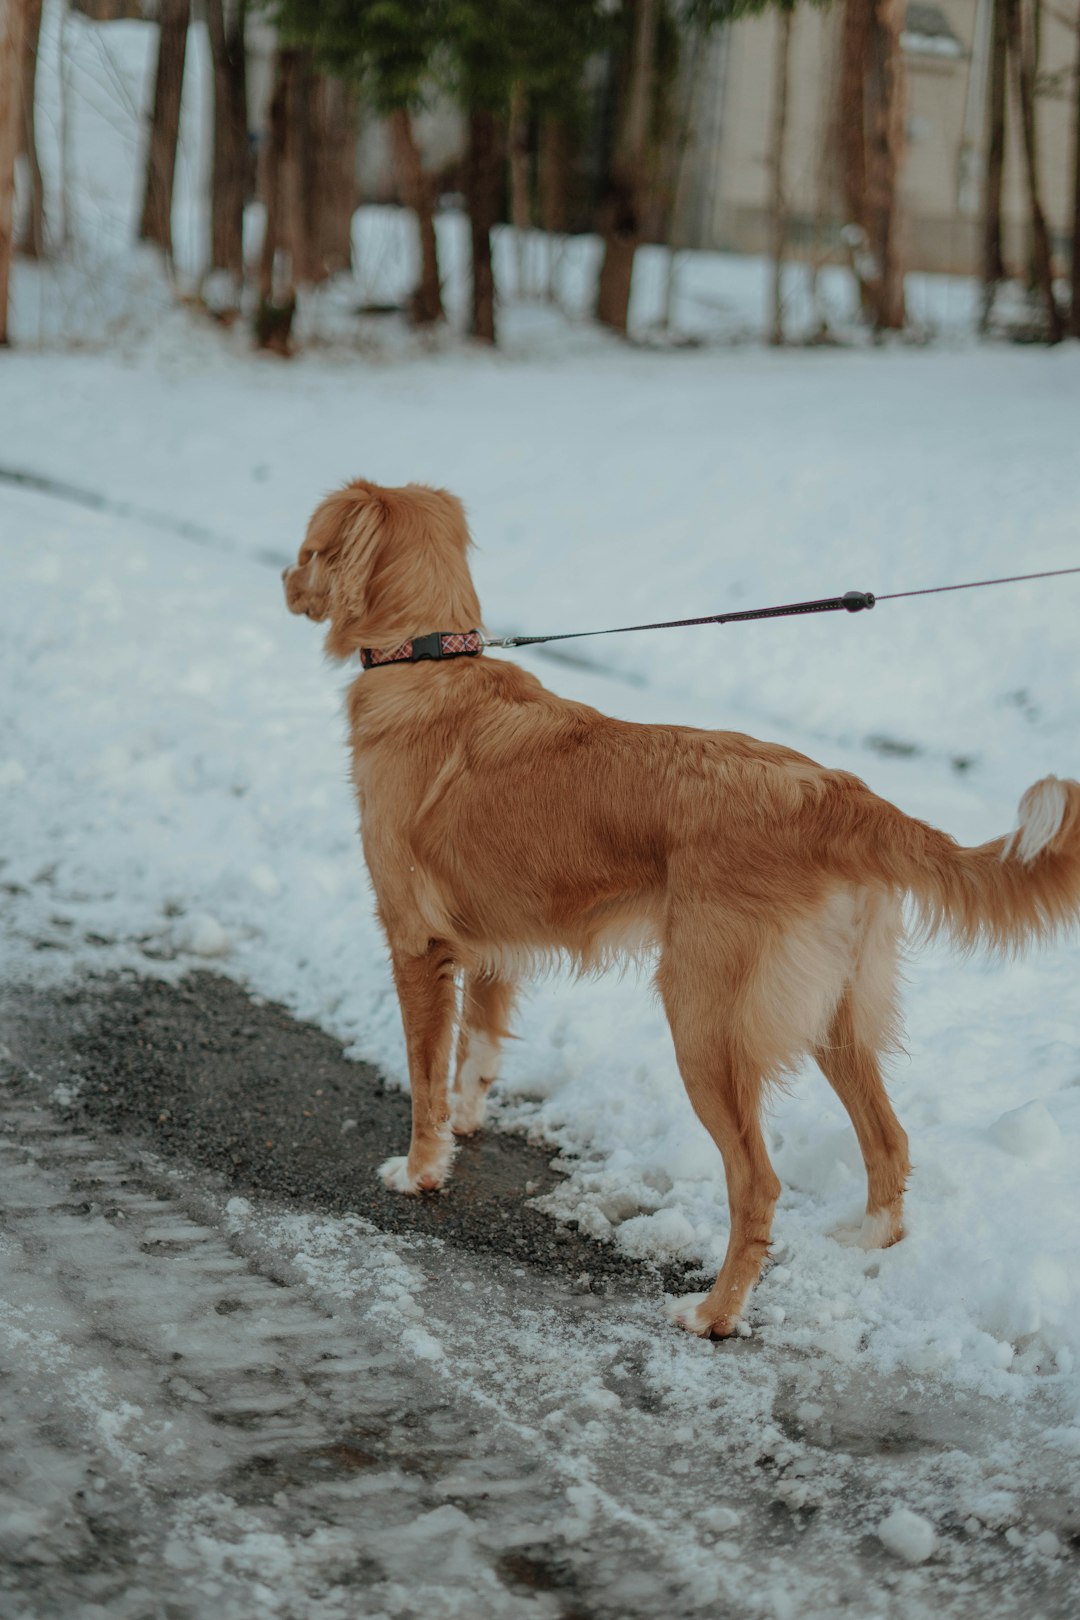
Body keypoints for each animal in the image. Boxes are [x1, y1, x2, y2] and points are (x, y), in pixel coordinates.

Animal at [284, 473, 1080, 1334]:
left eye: (307, 548)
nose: (285, 582)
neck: (429, 664)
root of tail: (833, 793)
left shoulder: (417, 944)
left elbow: (426, 1080)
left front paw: (420, 1170)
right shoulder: (495, 944)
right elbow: (478, 1052)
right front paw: (466, 1129)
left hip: (705, 1023)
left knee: (758, 1183)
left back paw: (714, 1314)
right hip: (835, 1015)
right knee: (889, 1141)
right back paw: (866, 1243)